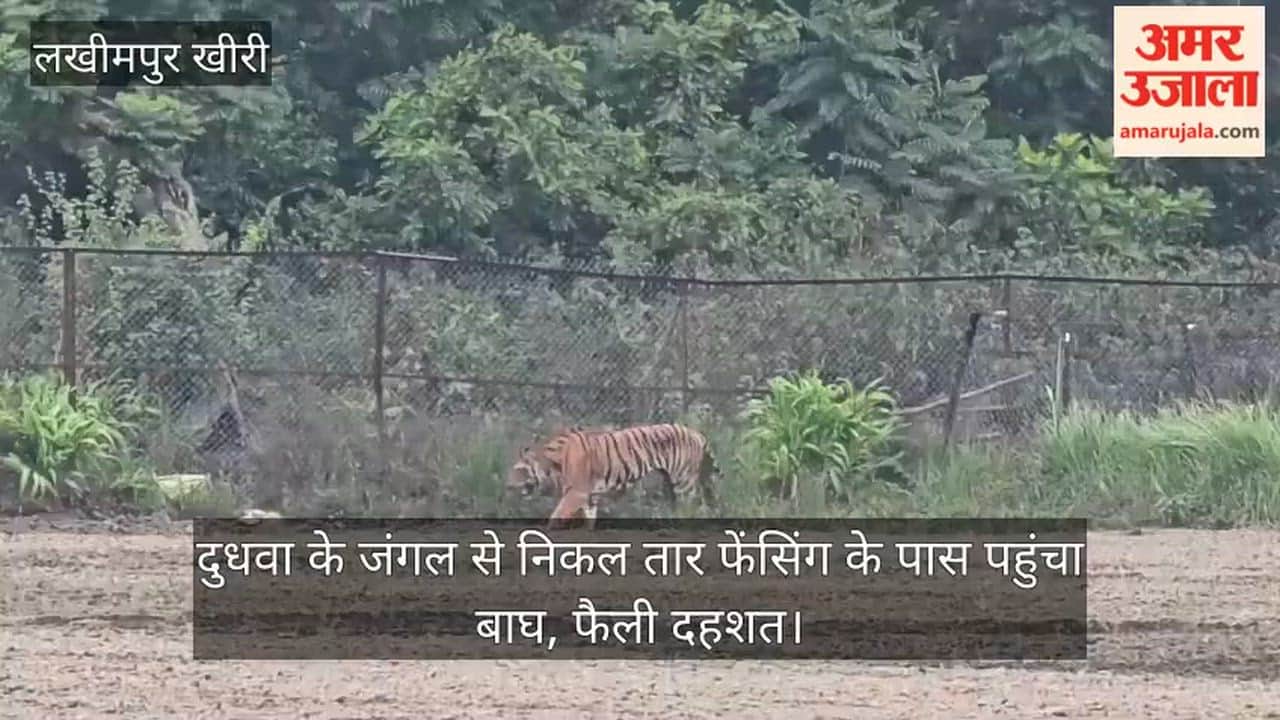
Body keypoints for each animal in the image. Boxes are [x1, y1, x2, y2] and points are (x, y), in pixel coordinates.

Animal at [506, 423, 721, 528]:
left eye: (519, 470)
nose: (508, 486)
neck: (553, 464)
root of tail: (695, 433)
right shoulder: (590, 498)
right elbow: (589, 522)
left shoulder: (576, 494)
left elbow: (555, 517)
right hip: (671, 484)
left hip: (683, 483)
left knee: (694, 508)